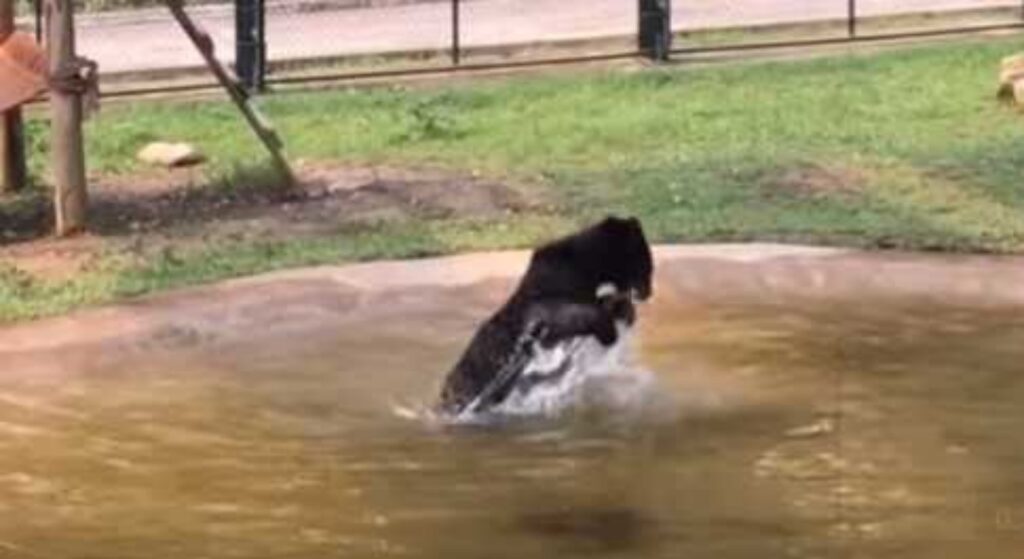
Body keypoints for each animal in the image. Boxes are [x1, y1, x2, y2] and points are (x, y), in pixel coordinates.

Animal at [436, 213, 651, 413]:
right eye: (648, 265)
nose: (648, 292)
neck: (589, 267)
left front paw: (624, 310)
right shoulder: (548, 293)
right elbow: (565, 315)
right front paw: (610, 331)